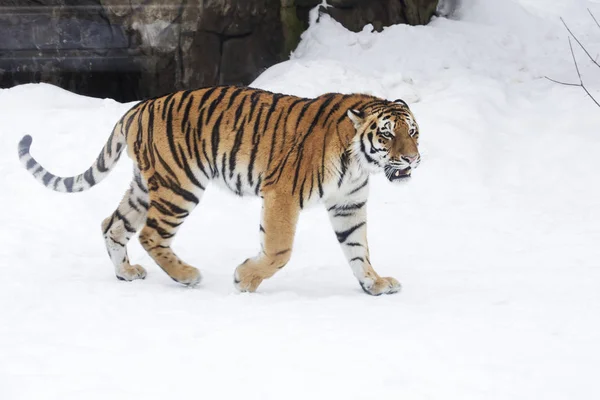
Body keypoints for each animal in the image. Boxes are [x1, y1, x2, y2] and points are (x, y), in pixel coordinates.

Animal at [18, 86, 422, 296]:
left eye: (413, 132)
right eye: (387, 135)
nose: (412, 158)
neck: (360, 163)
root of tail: (138, 108)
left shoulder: (347, 205)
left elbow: (358, 249)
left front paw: (374, 283)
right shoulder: (282, 193)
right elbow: (279, 250)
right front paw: (245, 278)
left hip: (146, 186)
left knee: (112, 224)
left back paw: (126, 273)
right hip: (179, 185)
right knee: (150, 234)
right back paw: (186, 275)